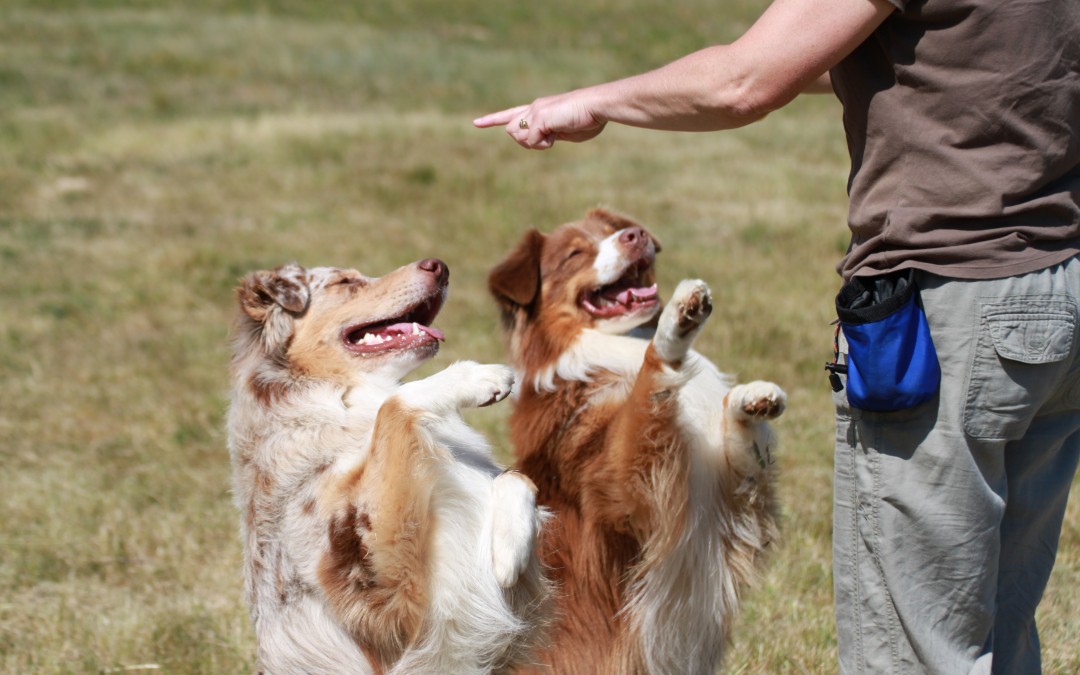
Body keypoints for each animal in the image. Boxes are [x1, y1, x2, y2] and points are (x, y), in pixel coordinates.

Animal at [225, 254, 548, 669]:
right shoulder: (379, 591)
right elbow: (395, 404)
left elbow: (516, 476)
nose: (438, 265)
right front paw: (476, 376)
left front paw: (509, 551)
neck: (341, 398)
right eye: (345, 283)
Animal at [490, 208, 786, 669]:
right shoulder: (621, 493)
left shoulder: (733, 498)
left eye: (613, 231)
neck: (612, 350)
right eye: (574, 254)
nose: (636, 235)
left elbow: (744, 453)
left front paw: (747, 400)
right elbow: (647, 391)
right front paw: (674, 328)